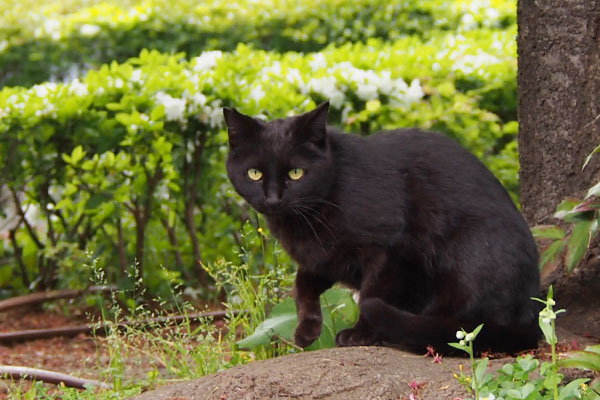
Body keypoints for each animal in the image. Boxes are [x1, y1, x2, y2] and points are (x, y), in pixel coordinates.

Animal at [223, 101, 540, 354]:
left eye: (296, 173)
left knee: (459, 328)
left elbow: (372, 293)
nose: (273, 199)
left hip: (465, 251)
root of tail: (530, 318)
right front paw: (307, 330)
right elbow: (302, 286)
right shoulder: (326, 257)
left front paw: (360, 334)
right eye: (254, 173)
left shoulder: (391, 250)